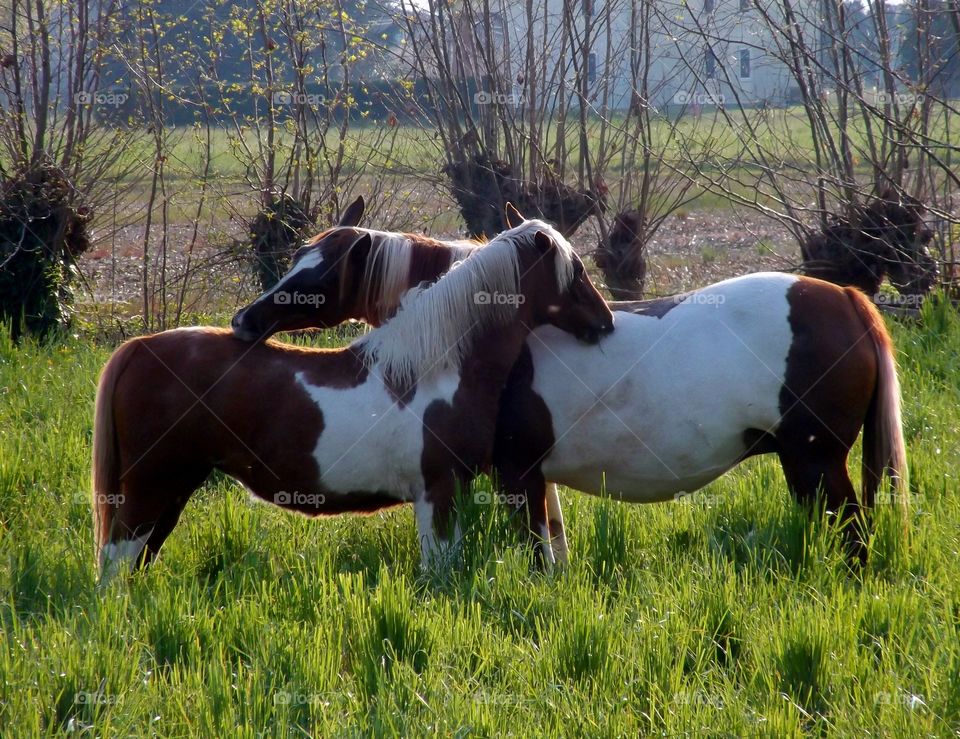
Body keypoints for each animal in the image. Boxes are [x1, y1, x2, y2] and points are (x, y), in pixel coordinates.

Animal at [91, 219, 614, 582]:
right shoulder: (438, 491)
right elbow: (441, 572)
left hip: (175, 486)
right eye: (575, 272)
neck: (437, 366)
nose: (606, 321)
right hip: (150, 486)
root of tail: (140, 347)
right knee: (116, 564)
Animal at [232, 200, 908, 565]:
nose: (245, 321)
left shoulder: (514, 475)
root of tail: (848, 299)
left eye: (316, 275)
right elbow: (553, 552)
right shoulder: (534, 477)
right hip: (803, 465)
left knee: (852, 538)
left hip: (816, 461)